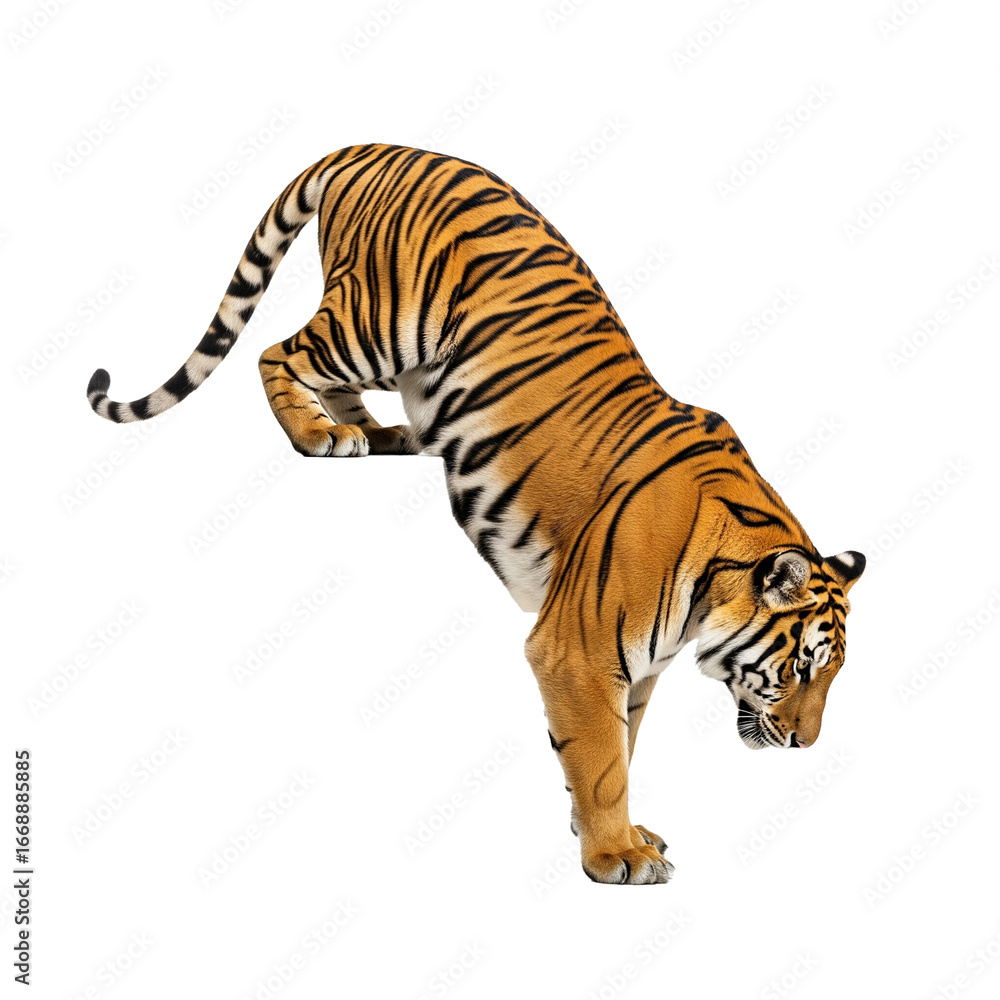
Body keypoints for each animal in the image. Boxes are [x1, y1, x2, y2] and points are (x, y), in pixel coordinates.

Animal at [86, 143, 866, 885]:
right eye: (803, 667)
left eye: (829, 675)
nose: (806, 744)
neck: (711, 588)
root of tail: (374, 147)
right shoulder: (577, 652)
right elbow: (604, 760)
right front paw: (618, 855)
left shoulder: (636, 670)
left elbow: (620, 748)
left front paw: (616, 835)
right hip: (377, 324)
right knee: (280, 351)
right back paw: (318, 435)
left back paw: (379, 435)